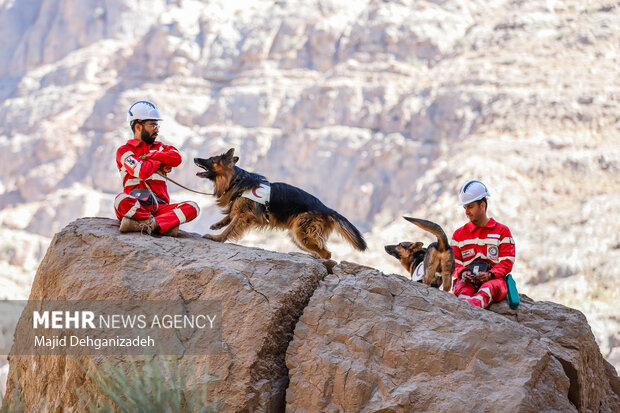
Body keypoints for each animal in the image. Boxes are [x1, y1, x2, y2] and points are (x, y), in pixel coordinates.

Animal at [196, 147, 366, 258]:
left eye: (211, 159)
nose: (195, 158)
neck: (236, 180)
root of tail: (327, 209)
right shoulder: (239, 209)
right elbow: (229, 216)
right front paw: (217, 224)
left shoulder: (244, 216)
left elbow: (230, 228)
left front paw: (217, 238)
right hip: (299, 236)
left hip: (302, 233)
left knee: (327, 253)